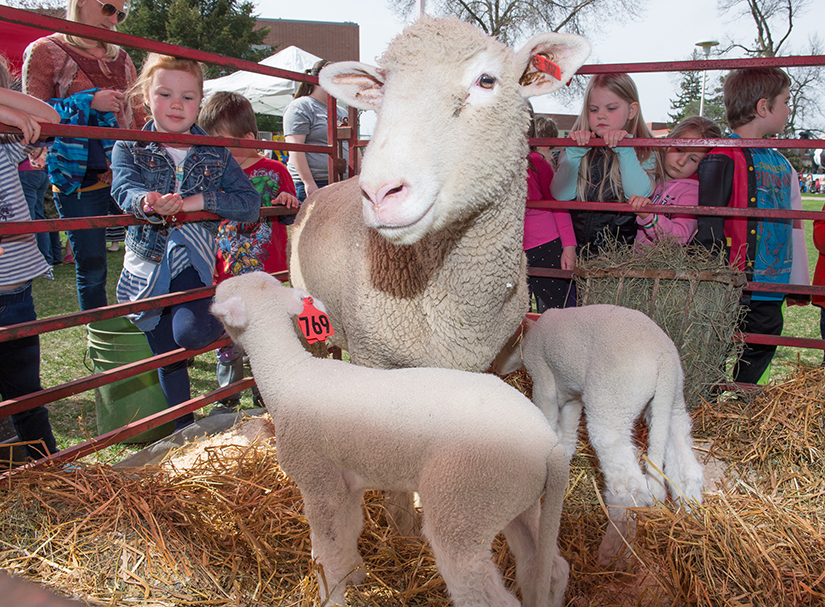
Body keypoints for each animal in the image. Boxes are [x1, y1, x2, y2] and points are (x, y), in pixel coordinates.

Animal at [211, 272, 572, 607]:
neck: (289, 376)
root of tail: (549, 447)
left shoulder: (319, 483)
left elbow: (326, 551)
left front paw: (333, 594)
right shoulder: (347, 486)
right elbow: (349, 532)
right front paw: (355, 574)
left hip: (463, 504)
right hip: (512, 501)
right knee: (549, 568)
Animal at [492, 306, 704, 568]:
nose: (495, 366)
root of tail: (664, 358)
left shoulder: (543, 380)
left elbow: (548, 419)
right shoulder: (573, 394)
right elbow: (568, 433)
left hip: (612, 404)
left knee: (631, 489)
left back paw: (613, 554)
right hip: (671, 402)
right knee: (685, 465)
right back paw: (690, 515)